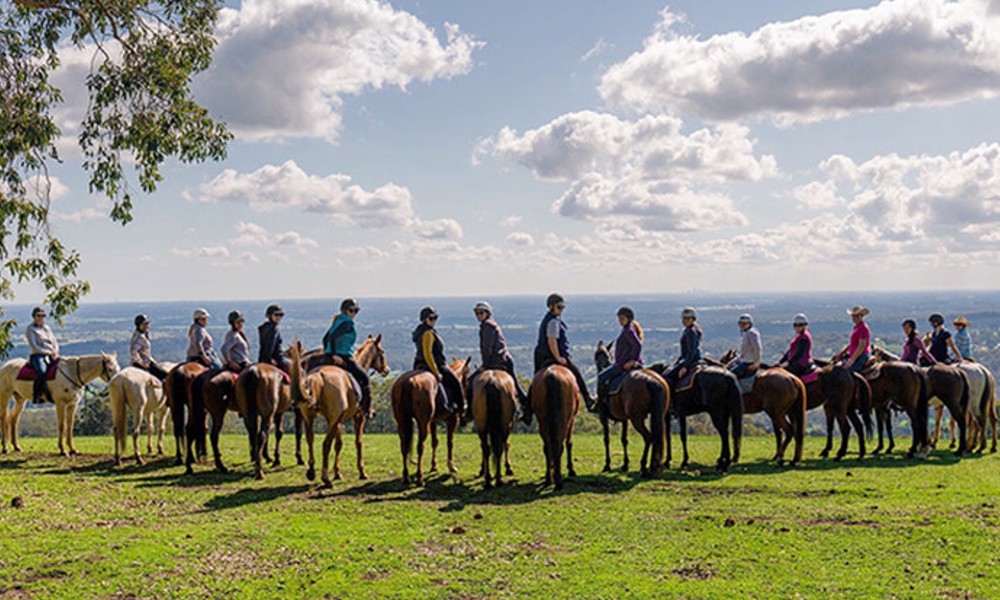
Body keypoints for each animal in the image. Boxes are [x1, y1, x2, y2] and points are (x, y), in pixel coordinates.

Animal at [290, 338, 390, 488]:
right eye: (382, 352)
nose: (386, 370)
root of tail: (317, 376)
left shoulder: (339, 421)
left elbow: (338, 444)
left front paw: (337, 472)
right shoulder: (359, 417)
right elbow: (358, 442)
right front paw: (362, 471)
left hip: (309, 418)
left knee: (310, 439)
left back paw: (311, 471)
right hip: (331, 421)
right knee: (325, 444)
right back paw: (325, 478)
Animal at [390, 356, 468, 488]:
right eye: (467, 375)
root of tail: (408, 382)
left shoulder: (433, 422)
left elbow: (434, 442)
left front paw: (434, 466)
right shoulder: (452, 420)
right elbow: (450, 442)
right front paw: (451, 466)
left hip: (401, 422)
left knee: (404, 447)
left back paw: (406, 477)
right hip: (423, 423)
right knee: (420, 447)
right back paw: (420, 478)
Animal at [592, 342, 672, 478]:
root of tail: (651, 380)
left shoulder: (603, 417)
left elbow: (606, 439)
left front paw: (607, 465)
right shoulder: (624, 419)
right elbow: (624, 440)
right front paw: (625, 465)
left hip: (637, 419)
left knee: (648, 437)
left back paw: (643, 467)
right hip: (658, 415)